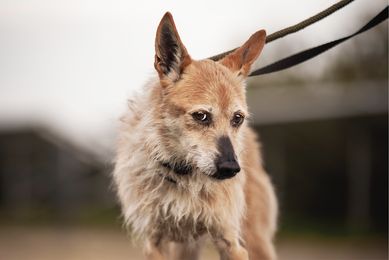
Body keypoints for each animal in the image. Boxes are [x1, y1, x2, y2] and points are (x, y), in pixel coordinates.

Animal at [111, 11, 276, 258]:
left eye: (237, 118)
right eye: (201, 116)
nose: (231, 169)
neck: (183, 176)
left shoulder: (231, 242)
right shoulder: (154, 242)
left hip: (256, 240)